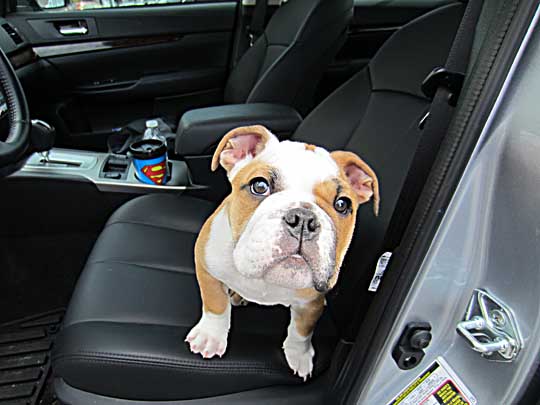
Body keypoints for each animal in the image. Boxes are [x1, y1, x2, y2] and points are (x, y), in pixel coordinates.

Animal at [186, 125, 380, 378]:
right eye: (259, 186)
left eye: (342, 204)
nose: (303, 219)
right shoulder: (207, 268)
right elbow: (215, 304)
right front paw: (210, 336)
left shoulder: (312, 302)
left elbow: (302, 330)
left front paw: (299, 355)